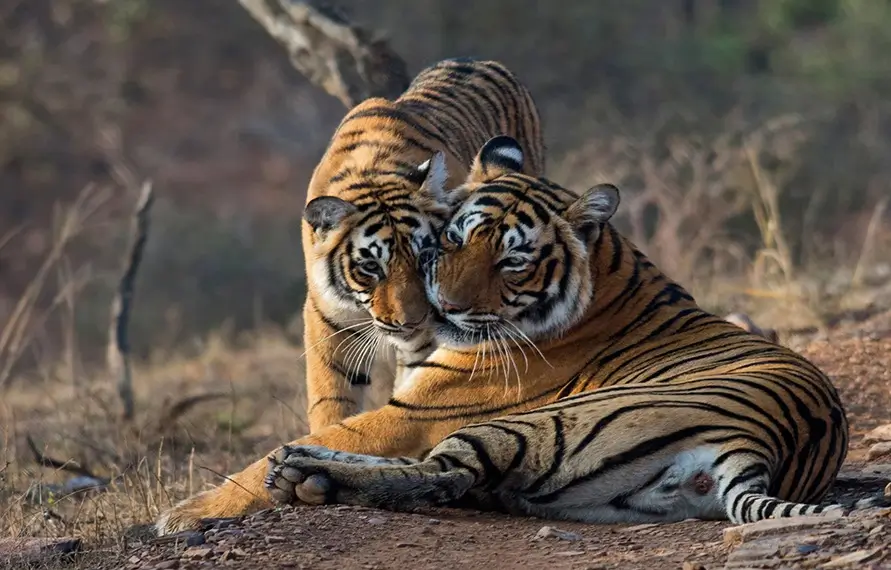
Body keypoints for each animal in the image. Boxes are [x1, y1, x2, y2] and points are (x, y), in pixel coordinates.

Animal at [258, 135, 881, 527]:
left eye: (512, 261)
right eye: (455, 238)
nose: (445, 309)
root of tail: (757, 446)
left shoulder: (420, 409)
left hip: (532, 424)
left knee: (443, 472)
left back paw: (304, 473)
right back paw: (299, 464)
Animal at [298, 58, 544, 434]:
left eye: (424, 256)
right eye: (371, 267)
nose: (409, 323)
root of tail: (476, 60)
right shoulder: (329, 321)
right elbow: (332, 401)